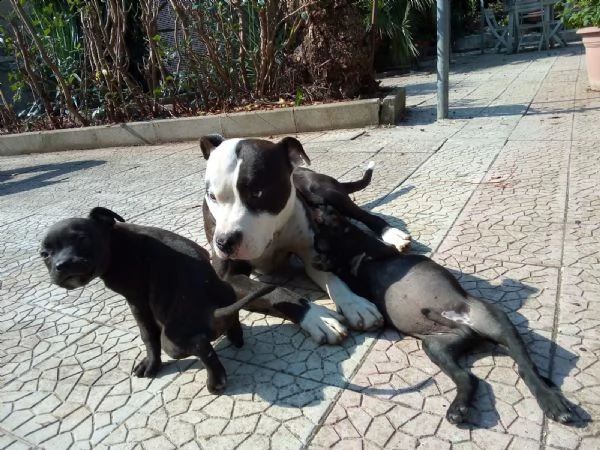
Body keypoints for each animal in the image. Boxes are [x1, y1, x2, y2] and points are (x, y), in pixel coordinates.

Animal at [41, 207, 274, 394]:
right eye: (44, 254)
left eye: (83, 239)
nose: (62, 264)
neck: (115, 243)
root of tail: (213, 311)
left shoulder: (137, 301)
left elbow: (148, 335)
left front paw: (151, 365)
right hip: (227, 292)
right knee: (232, 320)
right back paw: (235, 337)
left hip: (172, 341)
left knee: (201, 346)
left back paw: (215, 382)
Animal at [199, 134, 410, 344]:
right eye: (212, 196)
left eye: (257, 192)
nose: (224, 242)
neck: (275, 232)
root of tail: (301, 168)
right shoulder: (227, 277)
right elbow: (275, 290)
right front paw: (318, 316)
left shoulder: (313, 253)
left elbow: (333, 279)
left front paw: (354, 304)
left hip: (326, 192)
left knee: (365, 216)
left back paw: (393, 234)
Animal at [310, 204, 572, 426]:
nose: (318, 207)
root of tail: (468, 329)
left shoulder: (374, 252)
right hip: (436, 347)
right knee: (468, 378)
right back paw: (459, 408)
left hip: (498, 324)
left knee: (526, 368)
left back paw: (551, 401)